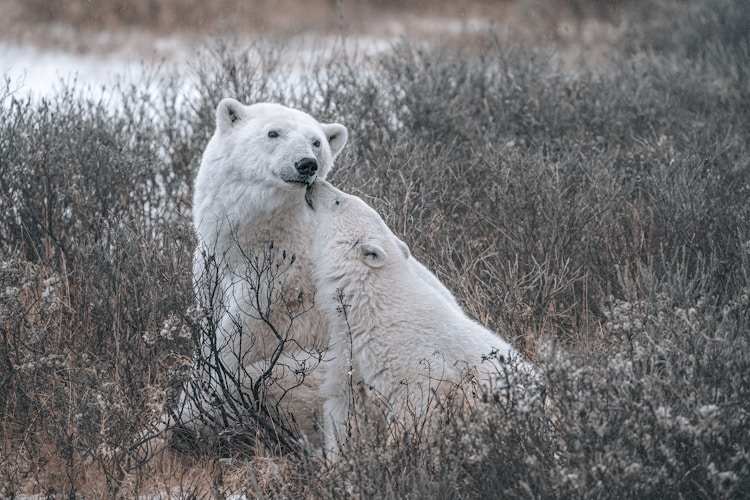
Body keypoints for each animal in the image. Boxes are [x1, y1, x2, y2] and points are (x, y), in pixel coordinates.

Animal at [178, 99, 350, 444]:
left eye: (316, 142)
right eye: (273, 133)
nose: (306, 164)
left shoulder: (277, 288)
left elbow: (234, 345)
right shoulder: (211, 269)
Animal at [306, 179, 536, 450]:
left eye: (338, 201)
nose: (313, 183)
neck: (372, 306)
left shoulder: (411, 362)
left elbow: (413, 407)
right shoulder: (350, 352)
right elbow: (342, 404)